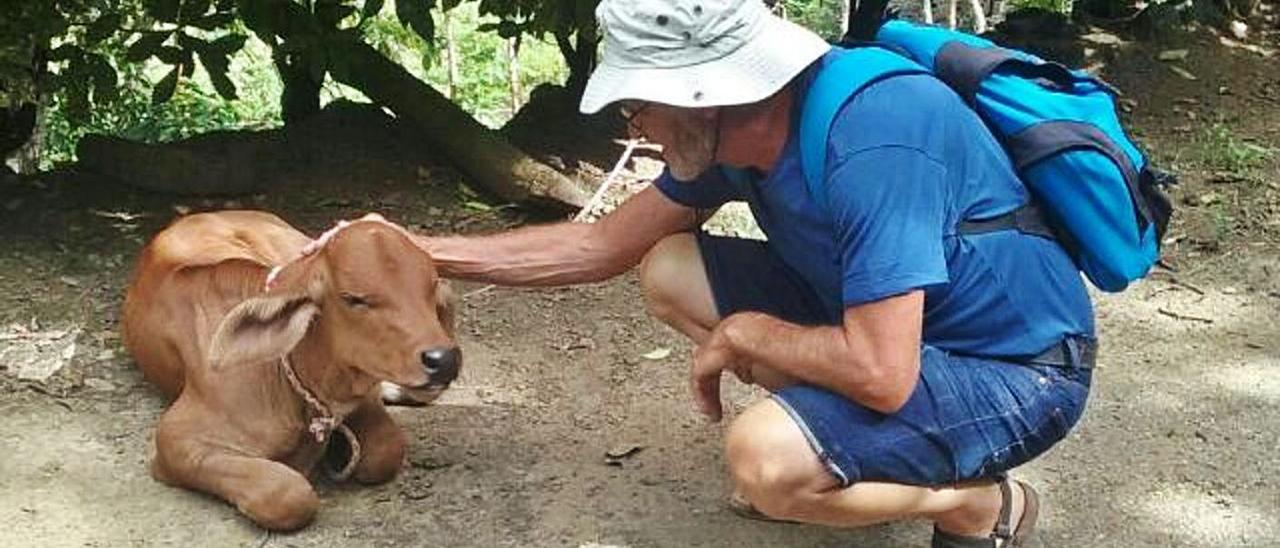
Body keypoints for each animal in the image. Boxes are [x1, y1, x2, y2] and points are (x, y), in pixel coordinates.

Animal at [120, 211, 460, 530]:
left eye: (431, 286)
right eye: (353, 299)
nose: (444, 359)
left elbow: (386, 451)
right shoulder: (175, 439)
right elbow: (288, 494)